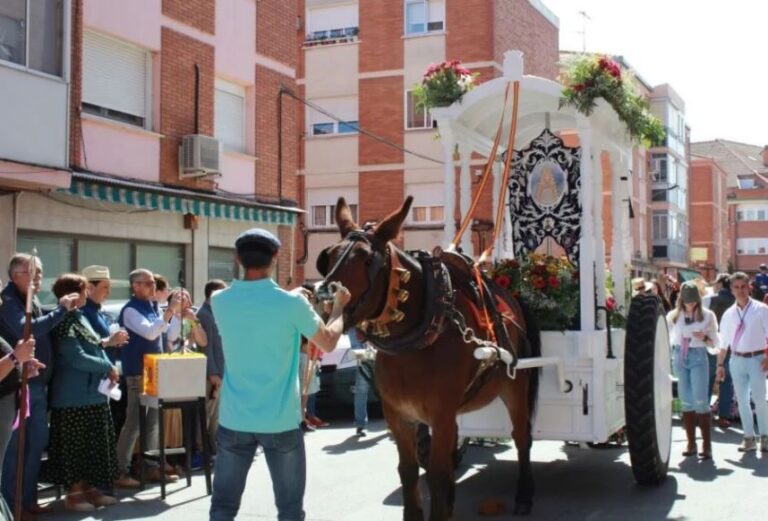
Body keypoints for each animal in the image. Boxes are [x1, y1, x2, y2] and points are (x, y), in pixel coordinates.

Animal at [318, 197, 540, 516]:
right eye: (330, 255)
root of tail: (513, 299)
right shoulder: (399, 416)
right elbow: (409, 471)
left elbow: (436, 475)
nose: (324, 300)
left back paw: (523, 494)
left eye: (367, 260)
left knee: (522, 437)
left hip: (516, 387)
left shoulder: (440, 414)